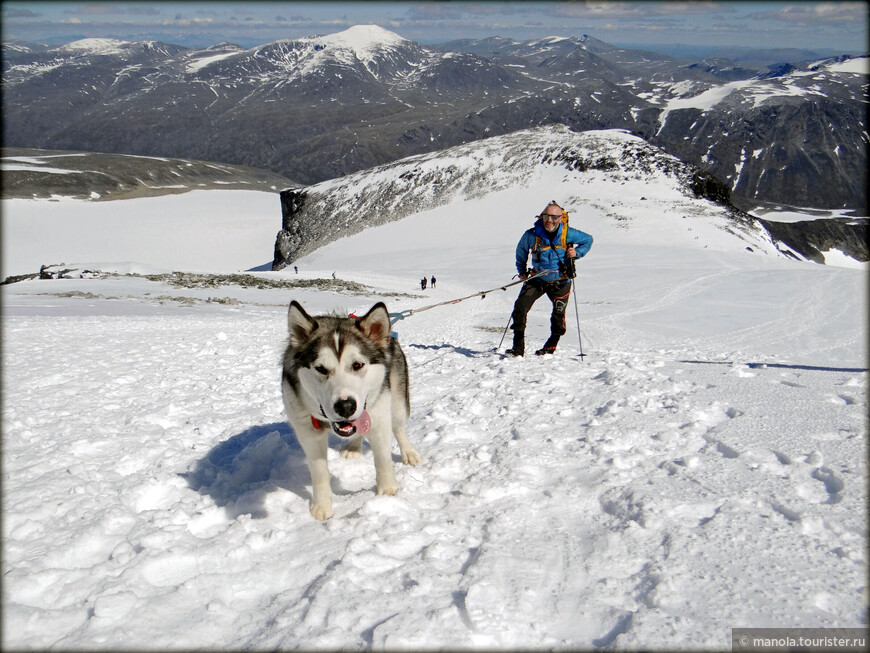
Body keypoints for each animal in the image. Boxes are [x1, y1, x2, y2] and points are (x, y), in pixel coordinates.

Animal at [282, 300, 422, 520]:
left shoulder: (380, 416)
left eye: (357, 365)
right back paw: (354, 447)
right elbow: (319, 471)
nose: (345, 406)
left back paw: (409, 453)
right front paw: (321, 507)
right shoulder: (307, 432)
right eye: (320, 368)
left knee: (398, 427)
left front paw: (388, 492)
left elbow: (383, 459)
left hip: (398, 402)